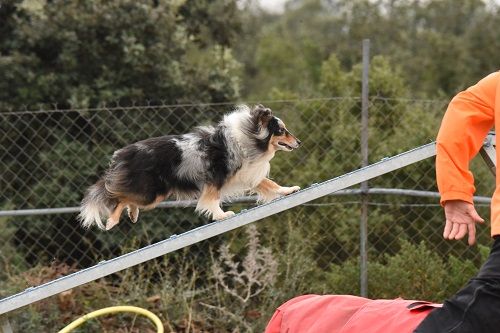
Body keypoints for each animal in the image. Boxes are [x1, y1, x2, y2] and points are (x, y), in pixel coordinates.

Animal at [79, 105, 300, 230]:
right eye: (281, 131)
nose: (299, 142)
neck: (248, 137)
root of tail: (123, 154)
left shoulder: (246, 174)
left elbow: (270, 184)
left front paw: (289, 190)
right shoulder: (215, 178)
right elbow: (212, 199)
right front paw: (222, 215)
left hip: (153, 195)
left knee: (127, 199)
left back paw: (133, 214)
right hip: (151, 192)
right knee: (120, 198)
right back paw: (112, 222)